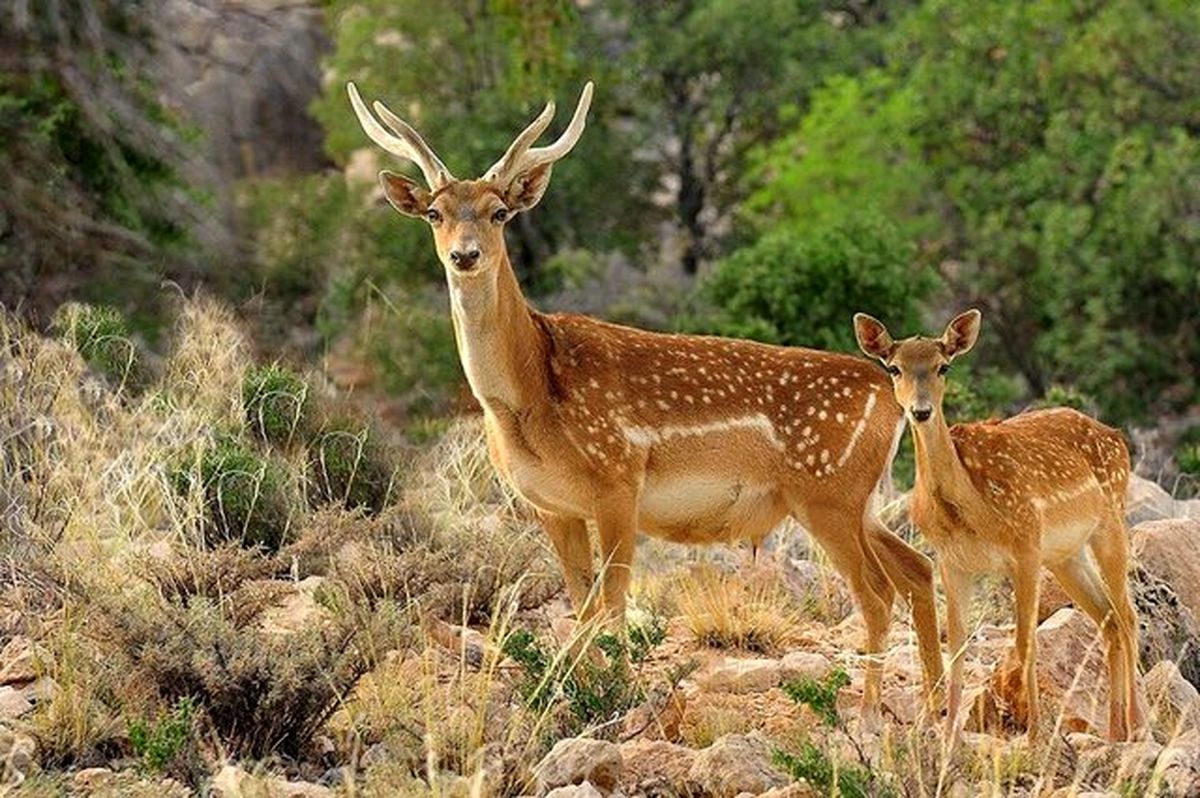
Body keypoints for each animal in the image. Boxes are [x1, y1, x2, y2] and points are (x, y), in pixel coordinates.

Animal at [348, 81, 945, 715]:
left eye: (499, 212)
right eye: (434, 213)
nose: (465, 254)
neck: (528, 397)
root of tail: (890, 394)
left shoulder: (618, 478)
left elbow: (609, 603)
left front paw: (612, 694)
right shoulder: (552, 505)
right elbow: (580, 600)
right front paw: (582, 691)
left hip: (827, 493)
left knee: (877, 592)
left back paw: (870, 711)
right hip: (860, 500)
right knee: (916, 568)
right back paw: (934, 702)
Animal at [854, 309, 1142, 739]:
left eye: (943, 366)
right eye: (894, 367)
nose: (920, 411)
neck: (970, 510)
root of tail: (1118, 437)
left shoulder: (1025, 546)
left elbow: (1026, 642)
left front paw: (1035, 736)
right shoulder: (952, 561)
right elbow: (956, 645)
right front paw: (949, 737)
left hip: (1110, 522)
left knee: (1128, 616)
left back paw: (1139, 728)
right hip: (1066, 555)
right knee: (1108, 619)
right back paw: (1114, 733)